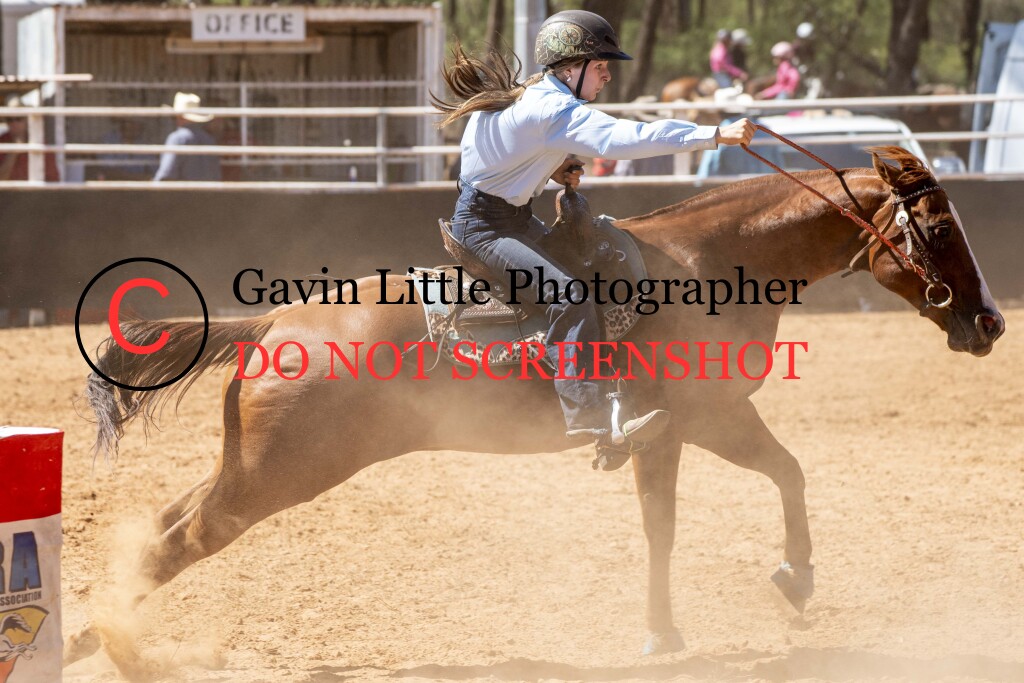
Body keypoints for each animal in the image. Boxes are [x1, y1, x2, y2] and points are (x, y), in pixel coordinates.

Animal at [65, 147, 1004, 670]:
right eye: (940, 229)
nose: (991, 321)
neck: (706, 261)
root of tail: (275, 321)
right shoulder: (708, 418)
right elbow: (780, 476)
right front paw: (791, 578)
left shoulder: (676, 431)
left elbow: (678, 518)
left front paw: (671, 628)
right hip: (278, 472)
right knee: (183, 538)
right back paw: (123, 651)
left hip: (253, 464)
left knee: (166, 522)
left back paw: (85, 638)